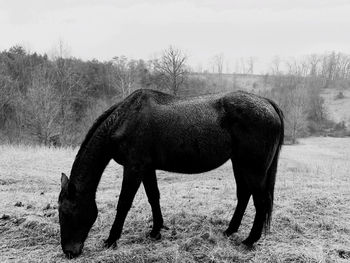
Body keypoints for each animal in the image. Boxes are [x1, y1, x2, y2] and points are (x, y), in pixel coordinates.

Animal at [57, 88, 284, 258]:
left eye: (66, 212)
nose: (69, 252)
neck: (126, 120)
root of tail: (267, 103)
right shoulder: (147, 169)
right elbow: (153, 197)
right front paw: (156, 230)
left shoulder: (134, 168)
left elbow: (123, 204)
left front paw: (111, 240)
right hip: (240, 164)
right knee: (244, 195)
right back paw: (230, 230)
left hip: (253, 169)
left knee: (261, 202)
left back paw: (249, 241)